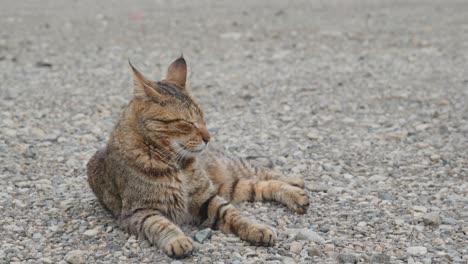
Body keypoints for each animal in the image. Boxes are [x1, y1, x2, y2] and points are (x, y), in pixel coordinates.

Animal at [87, 57, 310, 258]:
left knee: (261, 172)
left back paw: (295, 183)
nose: (208, 137)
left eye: (203, 117)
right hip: (228, 187)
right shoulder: (138, 211)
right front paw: (177, 240)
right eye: (187, 122)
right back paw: (296, 193)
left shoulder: (206, 198)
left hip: (227, 173)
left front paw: (255, 227)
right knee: (258, 185)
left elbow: (233, 214)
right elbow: (159, 224)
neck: (177, 164)